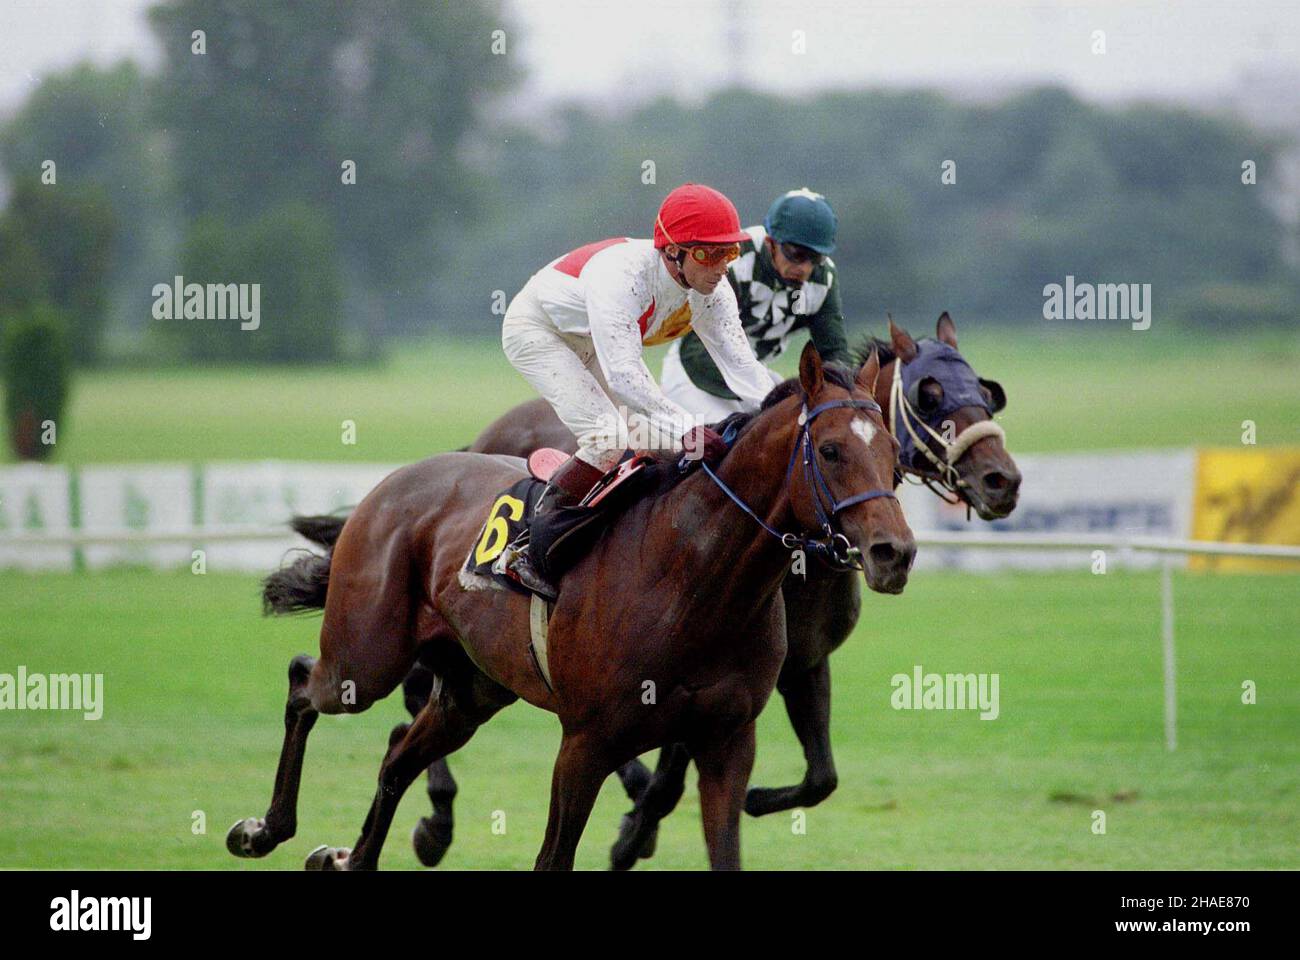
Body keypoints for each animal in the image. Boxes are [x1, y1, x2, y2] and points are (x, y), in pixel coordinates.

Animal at [226, 343, 915, 868]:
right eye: (831, 450)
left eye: (893, 456)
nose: (895, 552)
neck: (695, 578)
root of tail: (395, 480)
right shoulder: (586, 743)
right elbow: (555, 856)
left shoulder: (727, 741)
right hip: (364, 659)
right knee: (303, 683)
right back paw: (264, 829)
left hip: (471, 690)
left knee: (397, 756)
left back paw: (352, 856)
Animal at [431, 310, 1019, 863]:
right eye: (930, 397)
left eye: (985, 394)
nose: (1003, 481)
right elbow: (667, 780)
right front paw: (632, 837)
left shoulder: (803, 663)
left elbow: (821, 776)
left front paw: (750, 800)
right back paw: (437, 820)